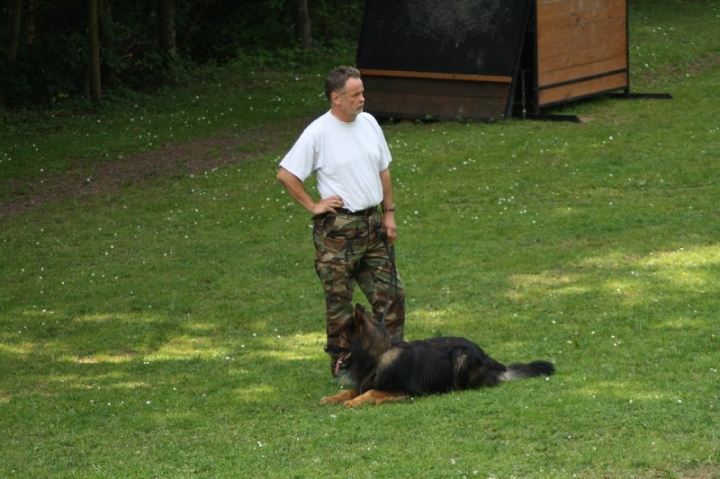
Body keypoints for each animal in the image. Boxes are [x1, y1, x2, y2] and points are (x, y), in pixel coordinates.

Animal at [322, 306, 556, 406]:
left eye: (340, 337)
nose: (325, 348)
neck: (378, 355)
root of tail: (490, 360)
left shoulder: (405, 391)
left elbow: (370, 393)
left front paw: (353, 402)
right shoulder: (366, 382)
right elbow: (350, 391)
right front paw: (332, 398)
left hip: (462, 357)